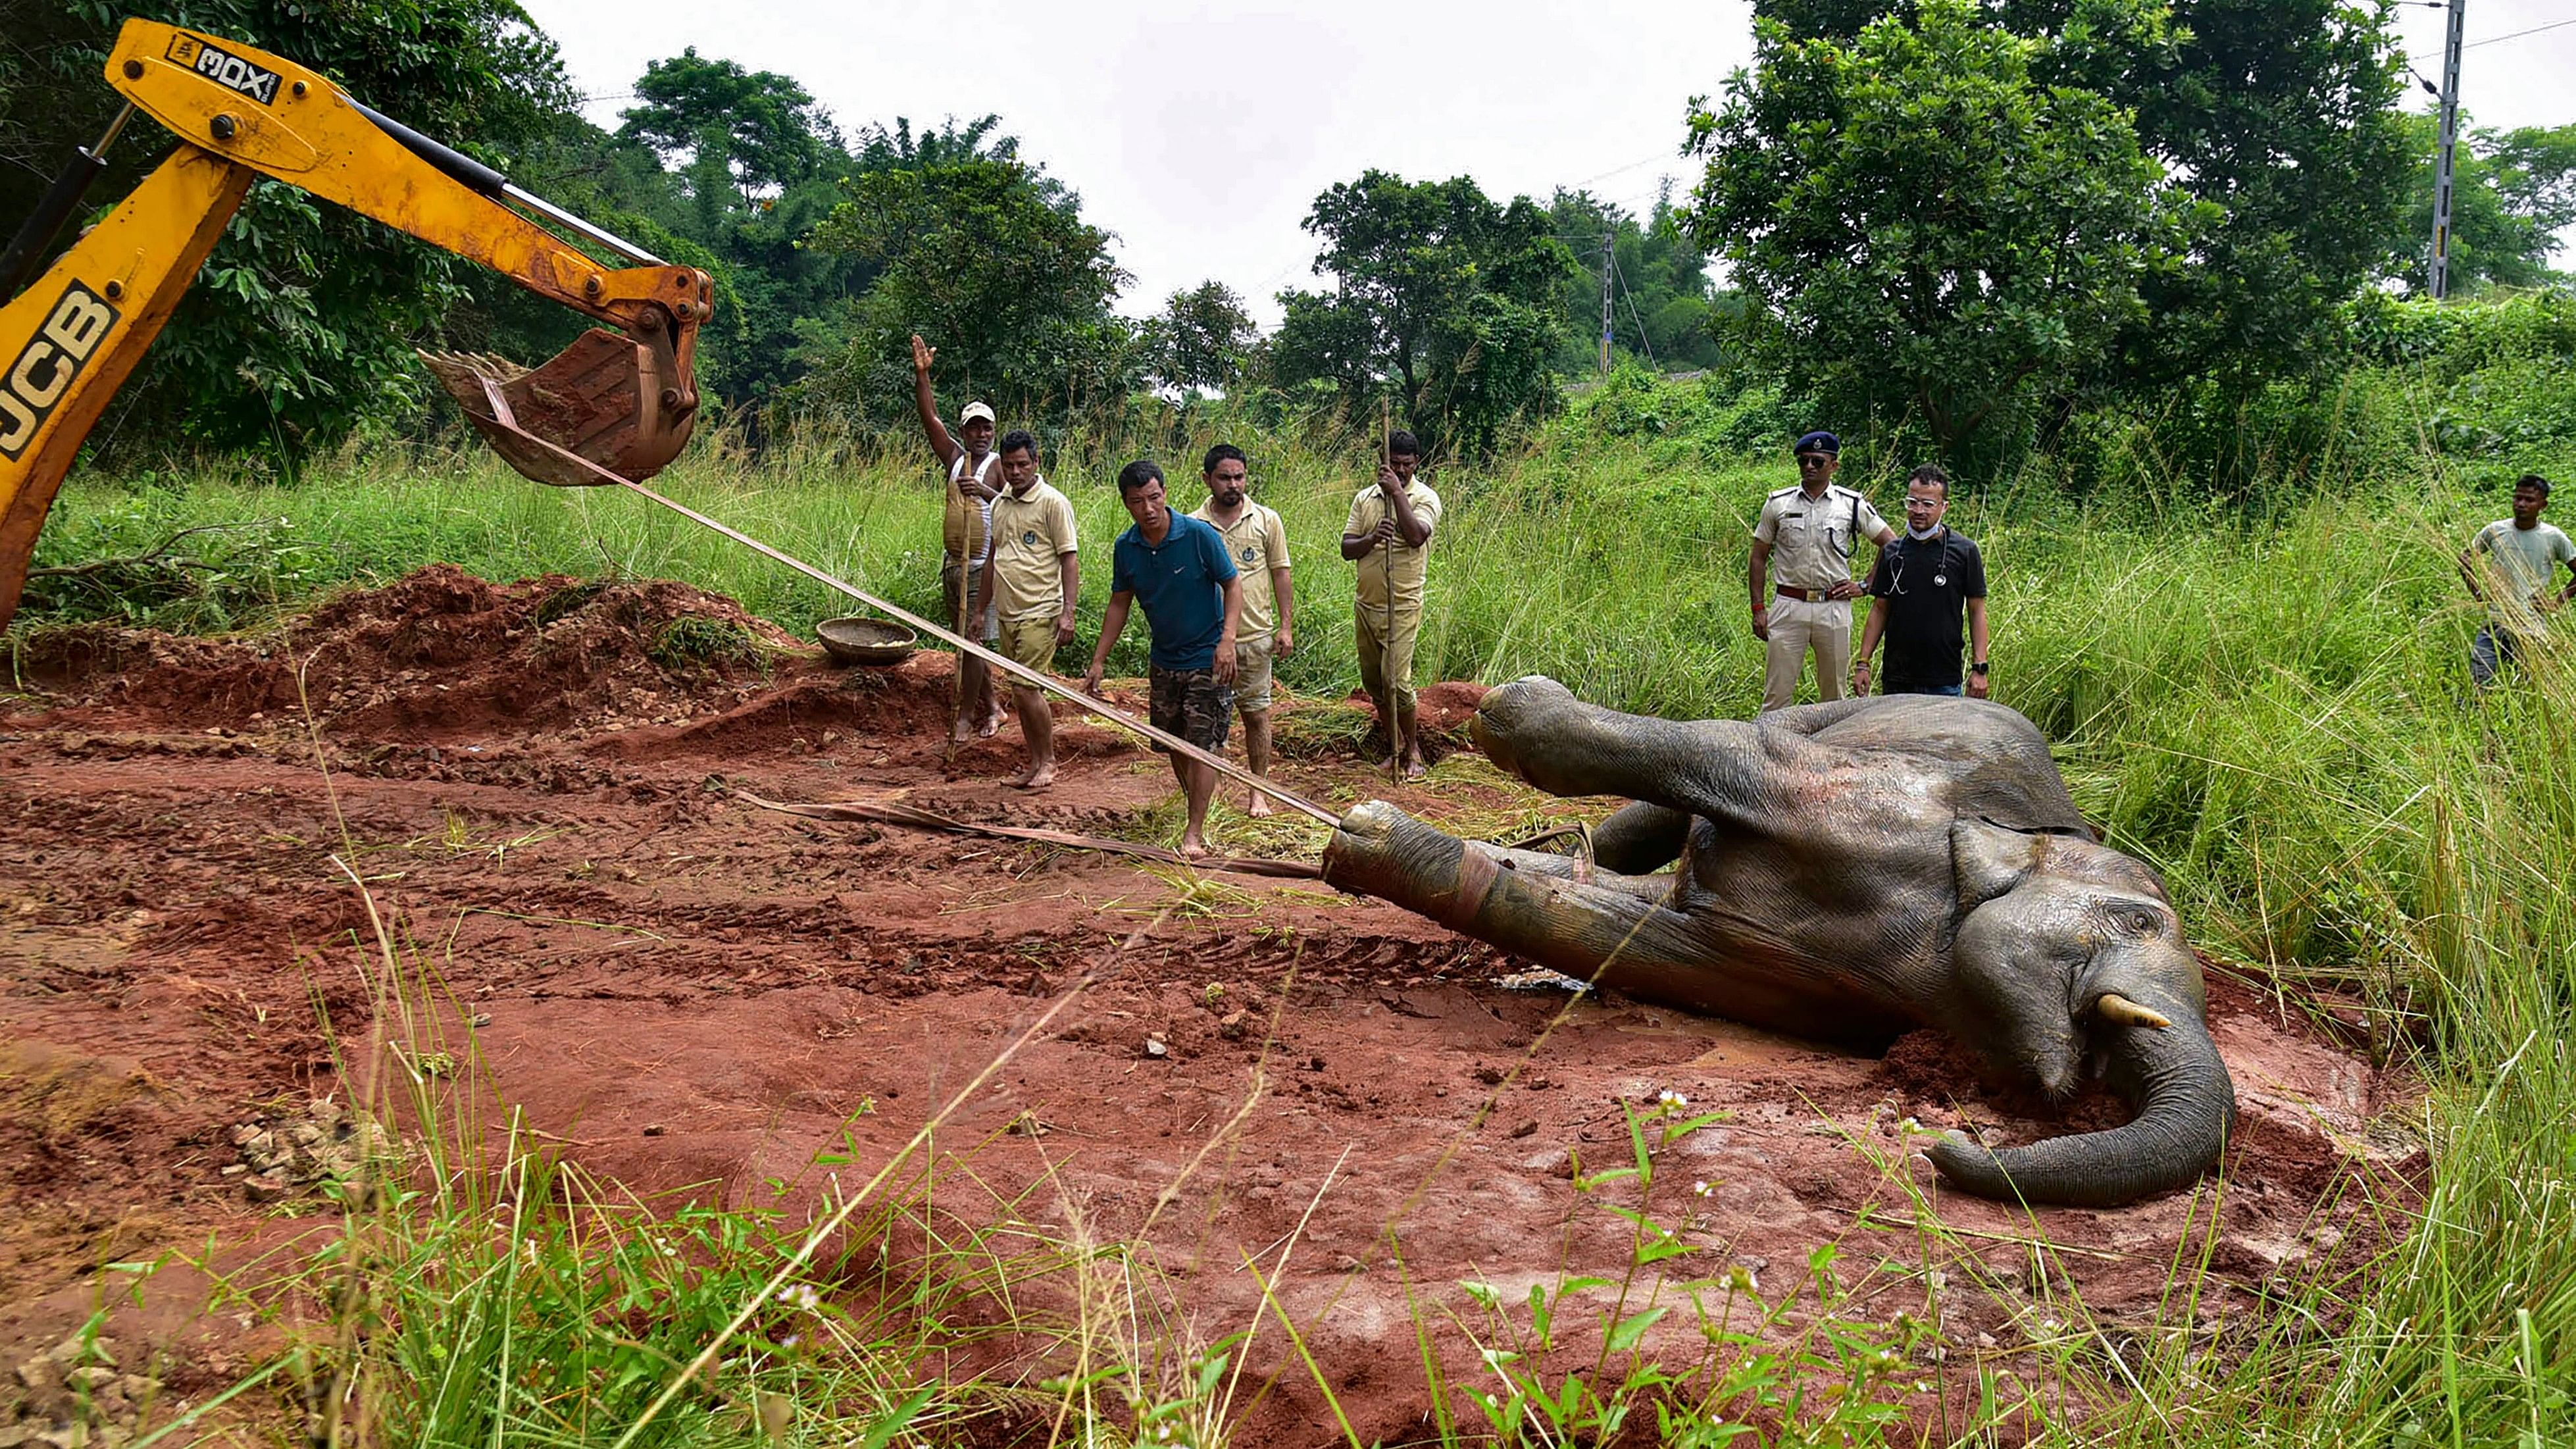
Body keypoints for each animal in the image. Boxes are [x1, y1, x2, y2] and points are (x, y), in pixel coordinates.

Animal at [1329, 680, 2236, 1206]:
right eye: (2140, 922)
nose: (1944, 1147)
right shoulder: (1875, 799)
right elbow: (1738, 754)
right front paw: (1511, 714)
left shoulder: (1814, 979)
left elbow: (1621, 937)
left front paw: (1365, 844)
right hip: (1829, 712)